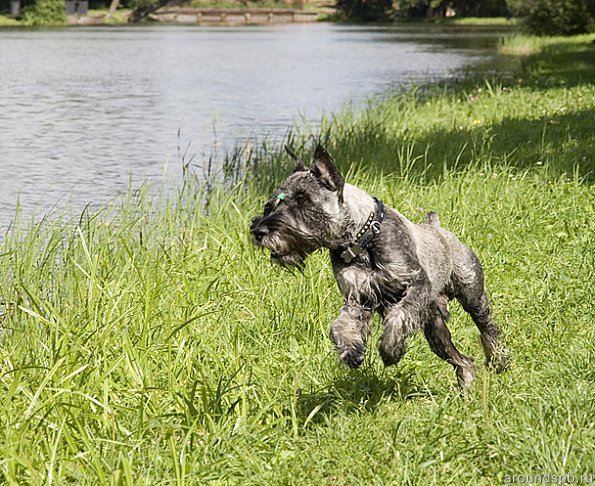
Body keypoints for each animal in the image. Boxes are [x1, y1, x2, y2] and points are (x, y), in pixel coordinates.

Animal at [250, 144, 508, 388]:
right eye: (270, 205)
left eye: (302, 200)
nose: (259, 231)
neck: (361, 239)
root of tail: (437, 228)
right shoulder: (357, 297)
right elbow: (341, 326)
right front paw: (351, 351)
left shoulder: (416, 283)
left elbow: (399, 315)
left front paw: (391, 349)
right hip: (436, 331)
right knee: (462, 360)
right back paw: (467, 386)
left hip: (472, 296)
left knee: (488, 329)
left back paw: (498, 360)